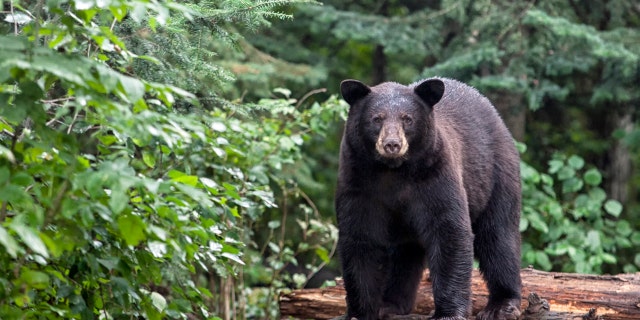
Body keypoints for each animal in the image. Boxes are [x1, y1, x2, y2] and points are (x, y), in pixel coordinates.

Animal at [336, 78, 520, 320]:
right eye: (377, 119)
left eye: (407, 119)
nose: (392, 144)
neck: (393, 171)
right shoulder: (357, 181)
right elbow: (360, 237)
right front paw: (360, 312)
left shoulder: (434, 175)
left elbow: (448, 230)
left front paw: (448, 312)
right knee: (403, 253)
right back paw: (391, 304)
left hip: (496, 175)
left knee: (498, 236)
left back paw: (502, 304)